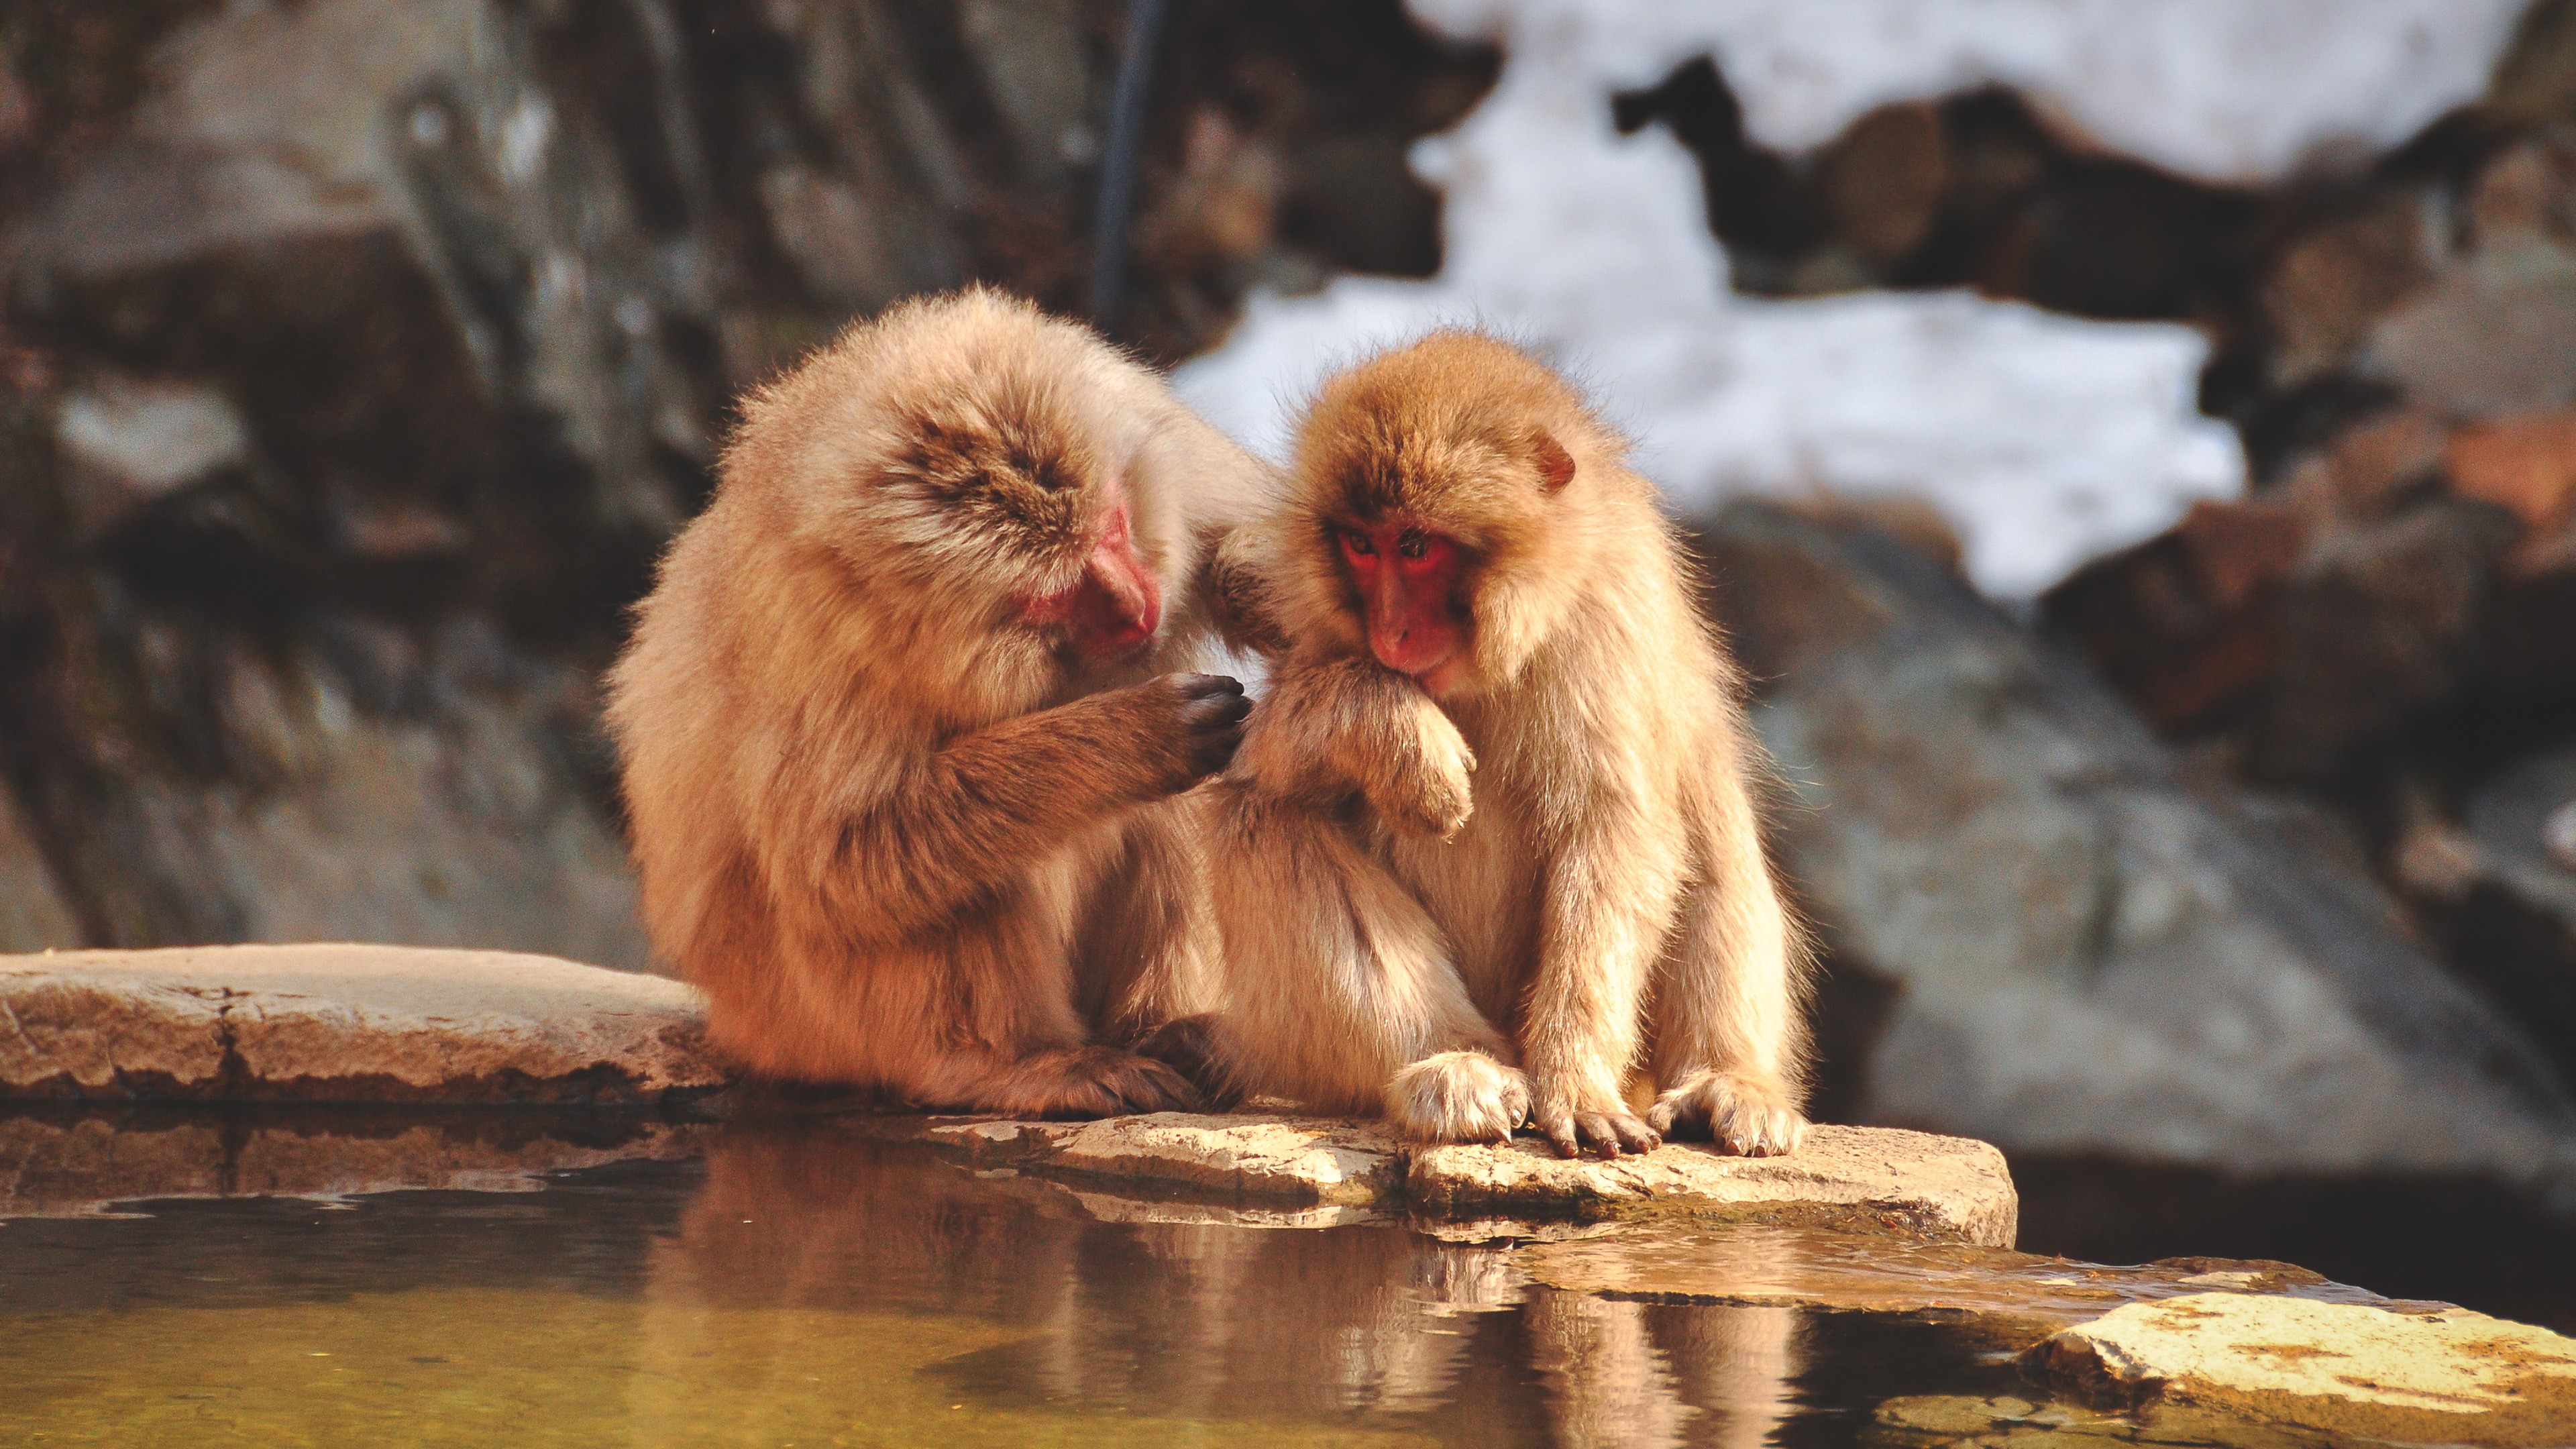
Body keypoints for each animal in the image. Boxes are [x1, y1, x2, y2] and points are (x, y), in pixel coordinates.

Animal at [612, 284, 1277, 1119]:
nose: (1136, 607)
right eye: (1052, 596)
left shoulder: (1173, 451)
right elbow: (846, 862)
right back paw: (1014, 1064)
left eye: (1114, 528)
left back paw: (1181, 1036)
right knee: (955, 868)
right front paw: (1136, 736)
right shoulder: (830, 652)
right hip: (811, 1019)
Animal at [1205, 332, 1813, 1155]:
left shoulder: (1612, 610)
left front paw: (1577, 1079)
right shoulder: (1294, 603)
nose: (1390, 633)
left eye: (1417, 546)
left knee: (1711, 822)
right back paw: (1456, 1065)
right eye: (1362, 545)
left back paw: (1725, 1081)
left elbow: (1615, 832)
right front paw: (1400, 738)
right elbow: (1259, 746)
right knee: (1260, 813)